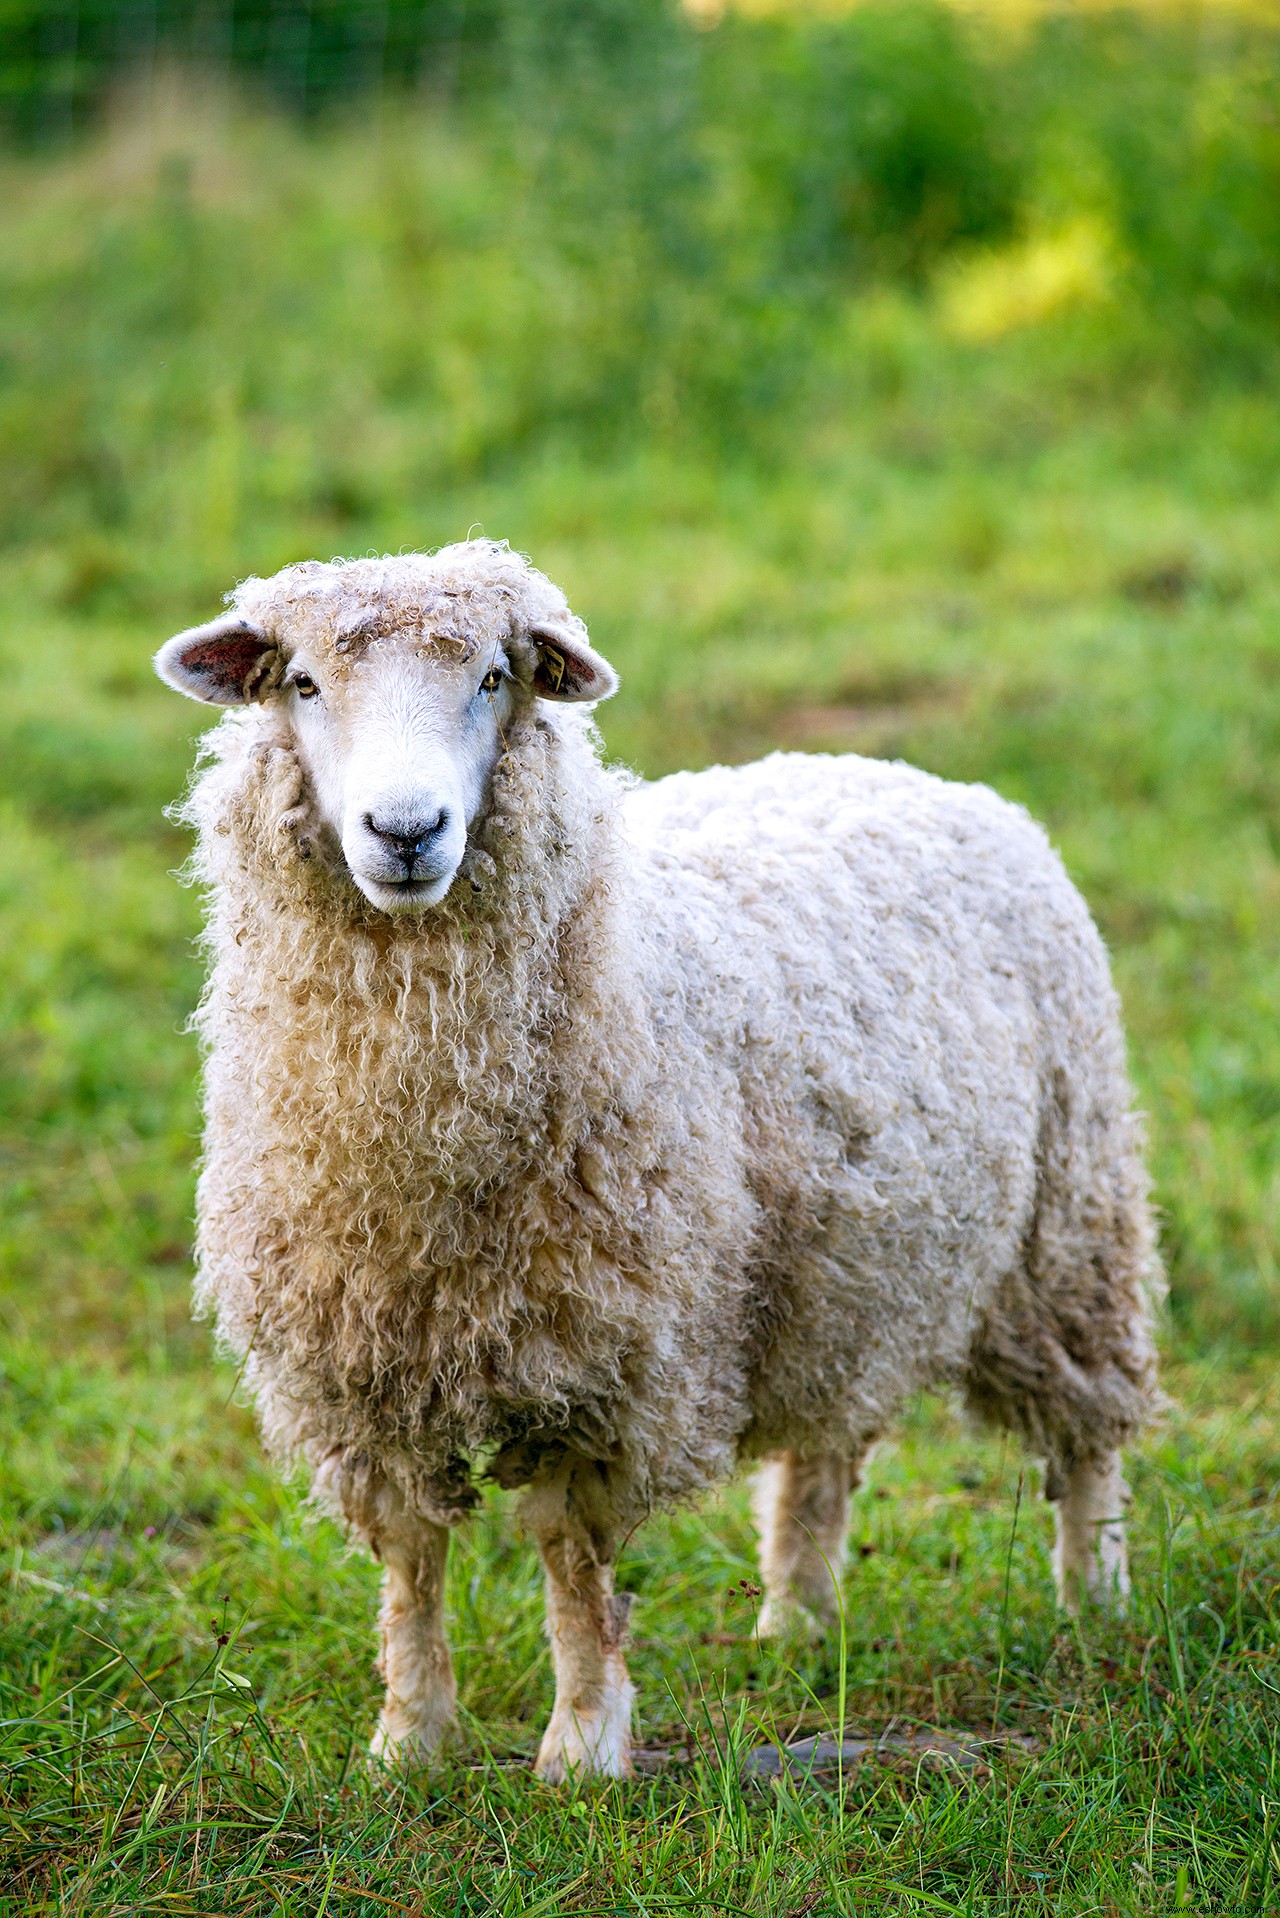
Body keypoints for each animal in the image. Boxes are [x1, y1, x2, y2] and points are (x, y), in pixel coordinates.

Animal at [155, 540, 1166, 1779]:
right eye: (300, 683)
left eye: (493, 678)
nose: (406, 829)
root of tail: (909, 773)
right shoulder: (358, 1366)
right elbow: (409, 1555)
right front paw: (408, 1741)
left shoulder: (607, 1357)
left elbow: (570, 1556)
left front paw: (582, 1748)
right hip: (837, 1262)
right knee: (821, 1451)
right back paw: (794, 1619)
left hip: (1068, 1222)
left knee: (1085, 1432)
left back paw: (1093, 1597)